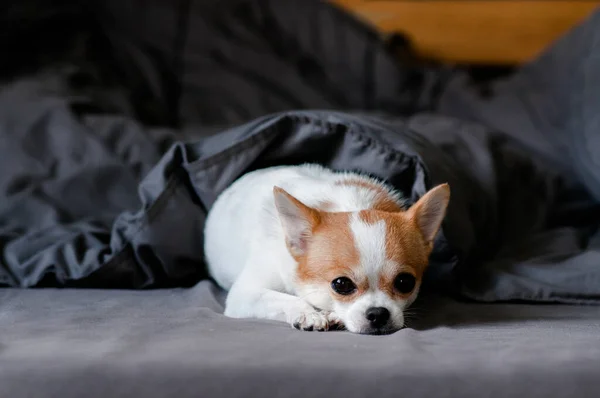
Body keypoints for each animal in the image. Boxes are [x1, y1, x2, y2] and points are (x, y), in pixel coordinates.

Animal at [204, 163, 448, 334]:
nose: (378, 314)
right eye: (341, 285)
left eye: (405, 282)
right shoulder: (244, 295)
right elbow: (283, 298)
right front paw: (308, 314)